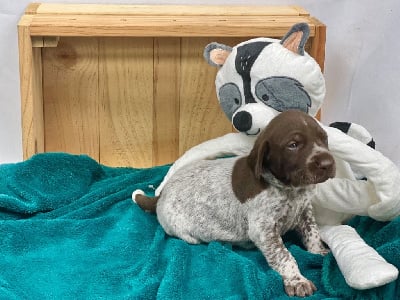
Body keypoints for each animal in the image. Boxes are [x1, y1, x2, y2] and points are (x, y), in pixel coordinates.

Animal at [134, 109, 334, 296]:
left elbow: (313, 233)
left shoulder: (305, 211)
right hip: (182, 231)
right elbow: (283, 255)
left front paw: (318, 252)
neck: (290, 189)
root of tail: (161, 196)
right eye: (293, 145)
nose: (328, 163)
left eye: (324, 139)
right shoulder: (264, 229)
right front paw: (296, 280)